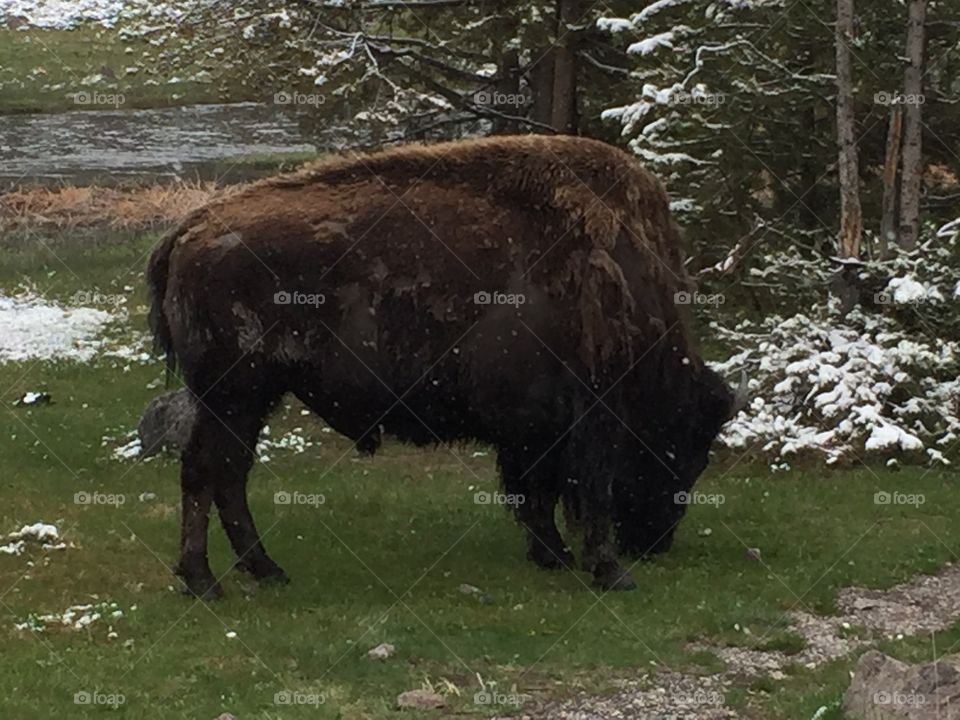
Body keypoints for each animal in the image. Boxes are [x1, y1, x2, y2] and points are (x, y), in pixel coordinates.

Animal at [146, 134, 744, 596]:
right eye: (687, 445)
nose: (655, 543)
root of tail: (189, 229)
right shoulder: (593, 413)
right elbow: (581, 490)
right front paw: (609, 573)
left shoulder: (533, 427)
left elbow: (534, 492)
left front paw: (552, 555)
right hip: (234, 394)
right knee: (206, 471)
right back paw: (206, 582)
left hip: (249, 399)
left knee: (228, 473)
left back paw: (265, 571)